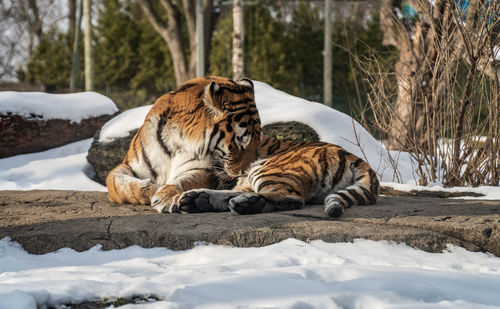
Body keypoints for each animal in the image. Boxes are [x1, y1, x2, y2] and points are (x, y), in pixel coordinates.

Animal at [105, 76, 262, 213]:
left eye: (257, 140)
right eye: (239, 141)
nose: (248, 171)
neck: (175, 140)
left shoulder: (200, 169)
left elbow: (185, 180)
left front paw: (166, 195)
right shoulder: (129, 166)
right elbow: (116, 183)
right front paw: (152, 189)